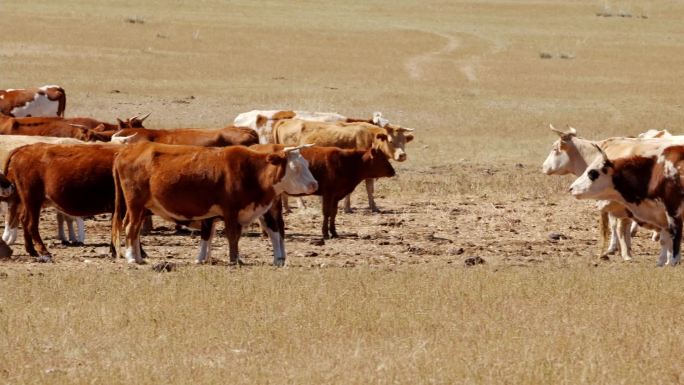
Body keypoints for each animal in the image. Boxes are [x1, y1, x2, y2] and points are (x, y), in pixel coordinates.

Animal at [112, 142, 318, 266]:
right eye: (296, 167)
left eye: (307, 164)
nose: (314, 185)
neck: (252, 171)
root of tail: (129, 149)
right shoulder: (230, 211)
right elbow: (232, 236)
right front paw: (234, 260)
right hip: (135, 204)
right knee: (131, 227)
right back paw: (132, 257)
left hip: (142, 208)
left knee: (135, 230)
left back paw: (138, 257)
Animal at [254, 144, 396, 238]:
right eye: (382, 159)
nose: (393, 171)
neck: (346, 162)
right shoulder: (328, 193)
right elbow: (326, 213)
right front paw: (325, 233)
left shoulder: (337, 196)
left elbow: (333, 213)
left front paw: (334, 232)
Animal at [272, 118, 412, 212]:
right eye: (391, 141)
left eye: (404, 141)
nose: (402, 155)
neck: (371, 137)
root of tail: (284, 121)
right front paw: (347, 208)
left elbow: (369, 188)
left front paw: (373, 206)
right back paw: (301, 205)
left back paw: (286, 207)